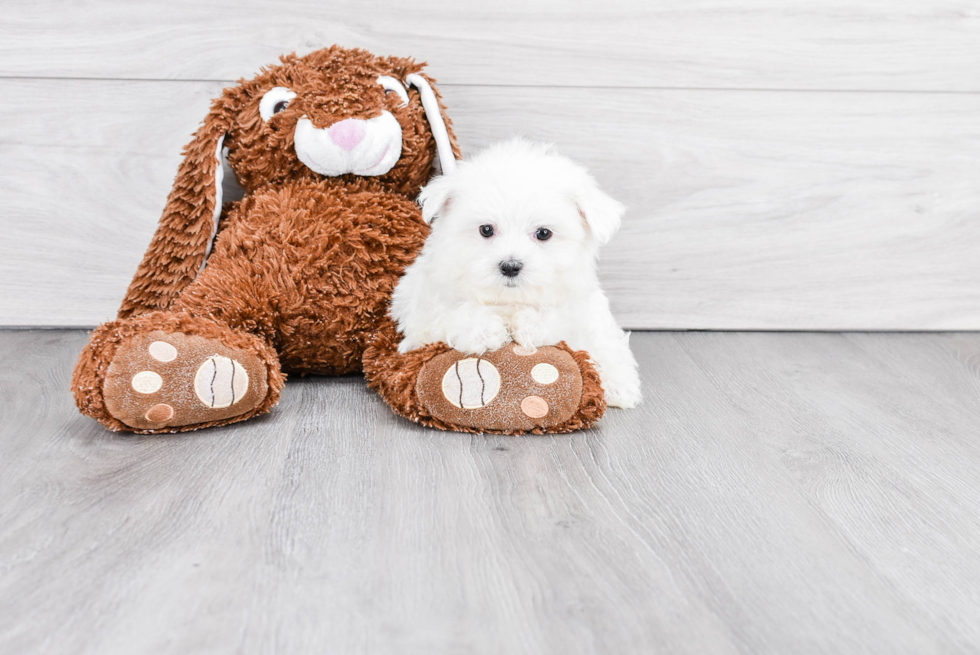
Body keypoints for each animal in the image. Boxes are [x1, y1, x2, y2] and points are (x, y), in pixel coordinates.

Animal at [390, 139, 644, 410]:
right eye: (486, 230)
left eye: (543, 233)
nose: (510, 266)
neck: (511, 301)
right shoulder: (426, 310)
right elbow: (454, 314)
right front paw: (487, 330)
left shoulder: (585, 309)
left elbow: (592, 336)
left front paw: (617, 384)